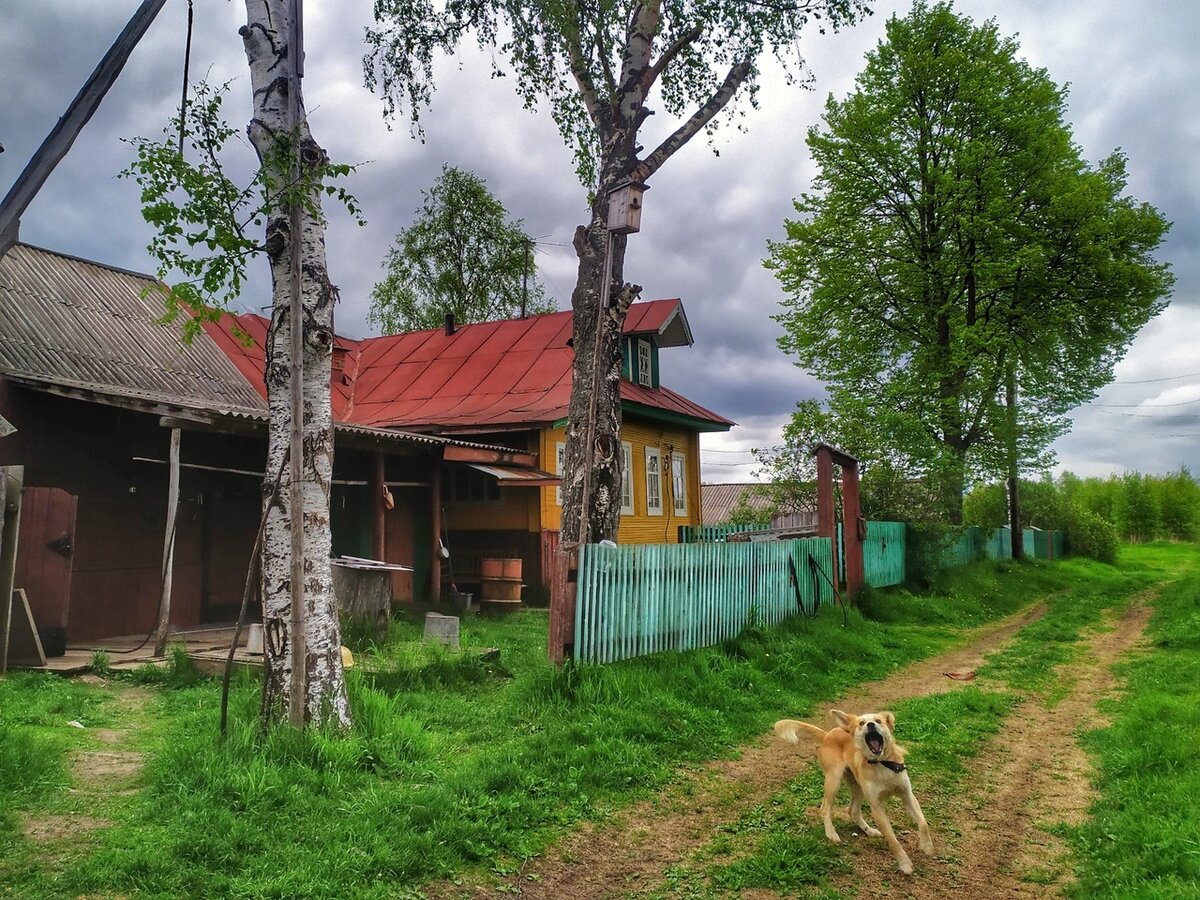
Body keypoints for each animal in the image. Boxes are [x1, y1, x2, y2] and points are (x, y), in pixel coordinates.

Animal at [772, 710, 931, 873]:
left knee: (853, 810)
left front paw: (926, 846)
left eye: (878, 721)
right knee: (825, 808)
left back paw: (869, 830)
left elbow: (923, 823)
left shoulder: (907, 795)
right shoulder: (877, 807)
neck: (882, 764)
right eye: (861, 723)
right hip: (833, 781)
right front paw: (904, 864)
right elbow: (893, 841)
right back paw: (831, 833)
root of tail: (827, 735)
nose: (870, 724)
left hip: (858, 787)